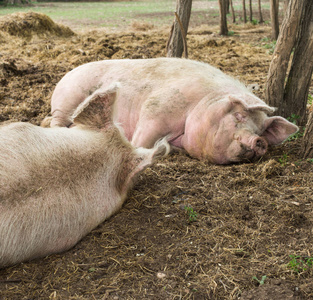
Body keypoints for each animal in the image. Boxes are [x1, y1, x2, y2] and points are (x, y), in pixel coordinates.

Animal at [42, 57, 296, 165]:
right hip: (67, 100)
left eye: (260, 130)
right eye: (239, 115)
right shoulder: (157, 109)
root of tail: (69, 72)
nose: (259, 141)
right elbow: (142, 140)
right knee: (56, 123)